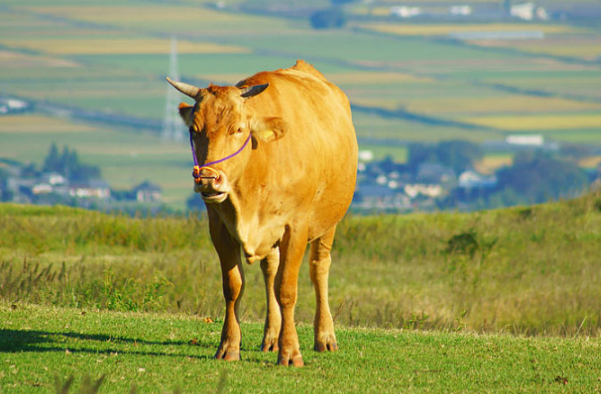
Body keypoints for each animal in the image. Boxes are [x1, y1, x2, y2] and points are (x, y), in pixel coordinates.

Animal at [166, 59, 356, 366]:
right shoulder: (219, 227)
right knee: (271, 270)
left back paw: (325, 337)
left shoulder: (296, 227)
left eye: (238, 129)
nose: (207, 179)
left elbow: (287, 289)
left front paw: (290, 352)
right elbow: (233, 286)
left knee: (319, 269)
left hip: (329, 222)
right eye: (194, 130)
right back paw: (271, 337)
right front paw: (229, 346)